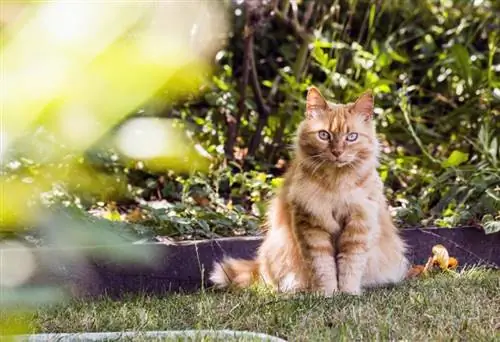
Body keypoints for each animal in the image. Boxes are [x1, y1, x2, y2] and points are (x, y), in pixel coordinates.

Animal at [209, 87, 408, 296]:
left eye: (351, 137)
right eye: (324, 135)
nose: (337, 152)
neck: (336, 184)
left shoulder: (358, 227)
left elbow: (350, 267)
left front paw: (348, 293)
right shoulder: (311, 226)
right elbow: (323, 268)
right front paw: (328, 294)